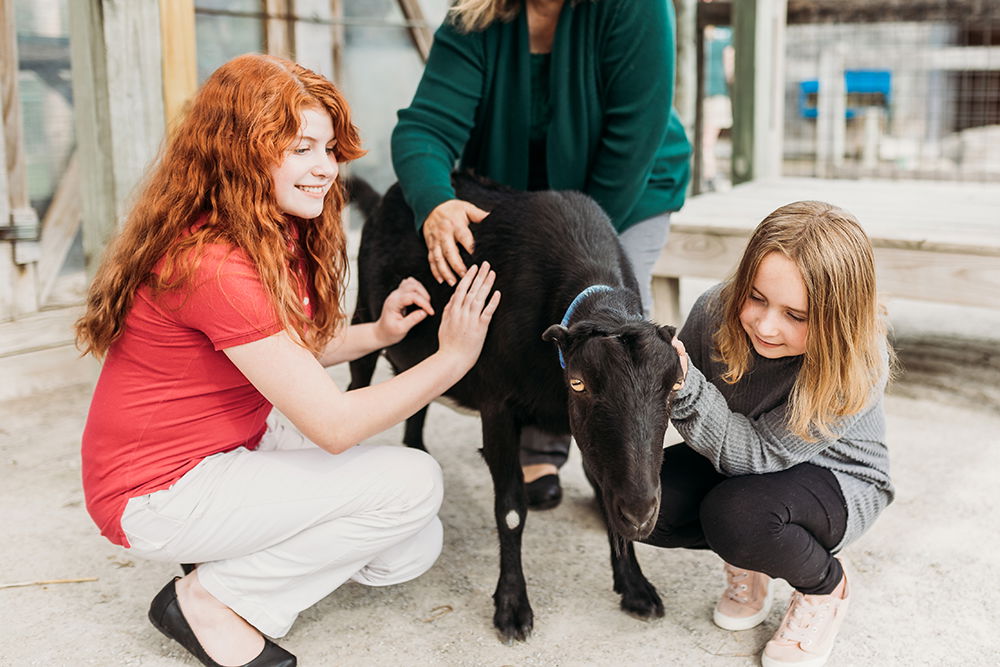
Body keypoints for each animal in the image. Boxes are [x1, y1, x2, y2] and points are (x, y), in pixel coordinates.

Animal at [348, 172, 684, 640]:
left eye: (674, 388)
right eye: (579, 383)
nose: (640, 511)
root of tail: (383, 198)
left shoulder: (587, 433)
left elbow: (604, 491)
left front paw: (636, 587)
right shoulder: (499, 405)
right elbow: (509, 509)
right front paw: (512, 608)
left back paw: (417, 450)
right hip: (365, 314)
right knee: (358, 380)